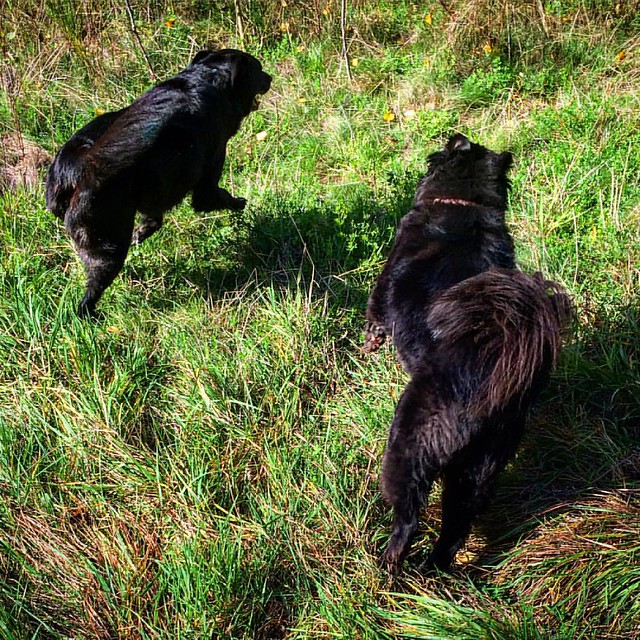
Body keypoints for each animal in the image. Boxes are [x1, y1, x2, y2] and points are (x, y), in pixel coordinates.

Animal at [46, 50, 272, 318]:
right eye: (258, 70)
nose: (270, 77)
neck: (207, 80)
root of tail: (71, 172)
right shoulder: (210, 172)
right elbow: (218, 197)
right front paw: (240, 203)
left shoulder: (157, 189)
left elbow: (153, 218)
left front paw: (142, 232)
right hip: (106, 246)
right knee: (88, 296)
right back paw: (92, 316)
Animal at [364, 135, 568, 576]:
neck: (464, 203)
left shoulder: (381, 288)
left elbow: (373, 317)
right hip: (478, 469)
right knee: (454, 529)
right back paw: (434, 571)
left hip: (408, 451)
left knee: (409, 519)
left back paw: (388, 566)